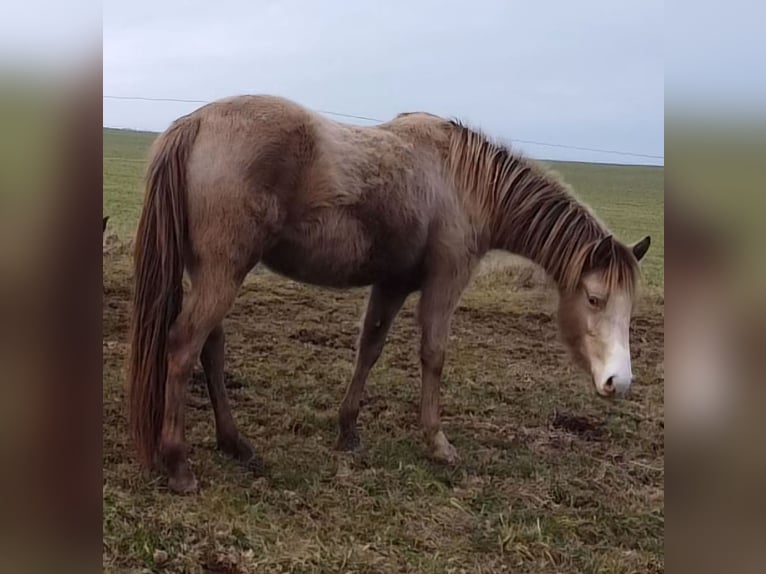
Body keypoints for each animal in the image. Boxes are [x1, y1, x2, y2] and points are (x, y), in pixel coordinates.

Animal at [127, 95, 651, 493]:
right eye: (595, 298)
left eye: (628, 307)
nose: (619, 382)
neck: (463, 180)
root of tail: (195, 123)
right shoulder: (444, 283)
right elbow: (433, 355)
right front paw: (437, 443)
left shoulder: (392, 284)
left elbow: (370, 348)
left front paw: (348, 430)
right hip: (222, 275)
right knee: (182, 347)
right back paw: (178, 465)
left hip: (213, 274)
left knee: (210, 349)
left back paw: (235, 444)